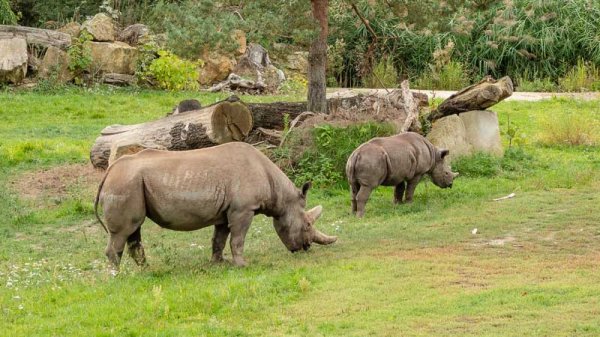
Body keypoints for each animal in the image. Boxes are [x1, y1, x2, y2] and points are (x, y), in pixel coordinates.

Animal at [95, 141, 336, 268]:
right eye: (307, 225)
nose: (306, 248)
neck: (279, 193)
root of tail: (108, 172)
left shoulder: (226, 211)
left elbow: (219, 238)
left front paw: (219, 263)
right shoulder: (243, 209)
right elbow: (238, 238)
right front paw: (242, 265)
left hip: (130, 182)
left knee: (134, 230)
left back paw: (146, 271)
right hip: (125, 183)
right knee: (124, 231)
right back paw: (119, 276)